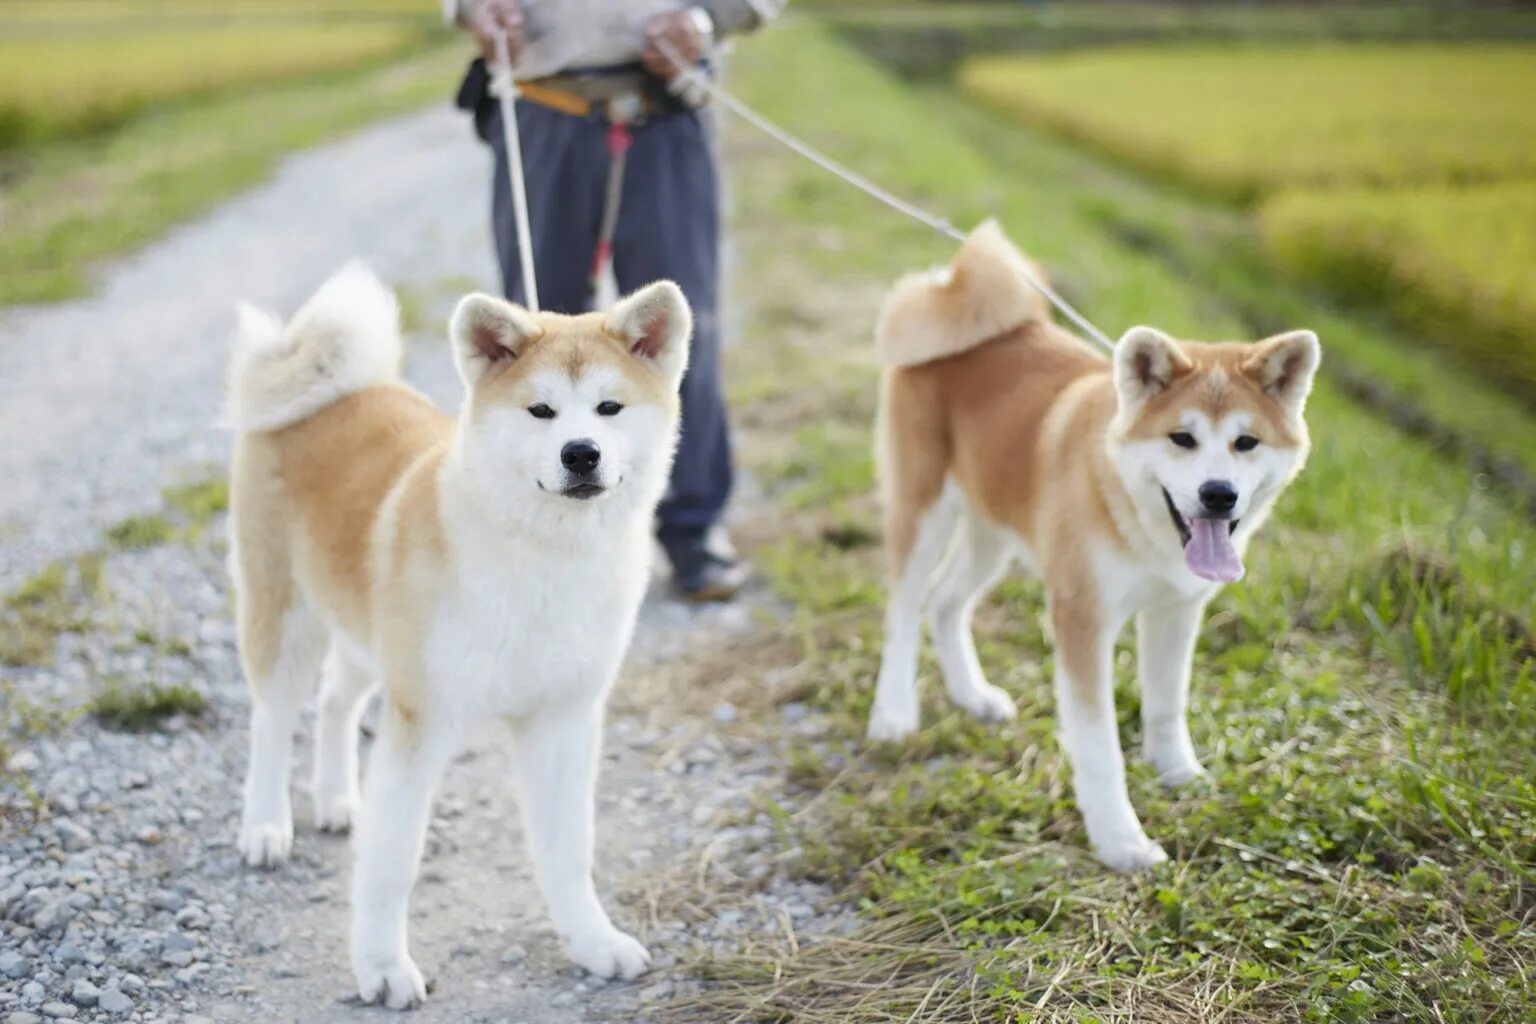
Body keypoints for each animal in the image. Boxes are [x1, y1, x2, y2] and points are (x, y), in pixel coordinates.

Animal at [224, 264, 691, 1007]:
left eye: (609, 408)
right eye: (541, 411)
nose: (581, 453)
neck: (543, 560)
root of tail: (331, 384)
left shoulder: (562, 720)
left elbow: (568, 852)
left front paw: (592, 942)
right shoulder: (423, 721)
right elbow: (392, 863)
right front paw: (382, 968)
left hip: (367, 633)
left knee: (335, 702)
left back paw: (337, 801)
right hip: (287, 617)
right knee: (272, 721)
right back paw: (267, 825)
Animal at [866, 221, 1320, 872]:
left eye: (1247, 442)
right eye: (1181, 438)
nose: (1218, 495)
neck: (1138, 520)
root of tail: (948, 290)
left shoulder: (1176, 611)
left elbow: (1166, 705)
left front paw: (1179, 773)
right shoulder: (1082, 616)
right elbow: (1099, 743)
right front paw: (1120, 839)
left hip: (993, 529)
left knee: (946, 603)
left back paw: (973, 695)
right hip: (924, 508)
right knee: (904, 610)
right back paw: (894, 712)